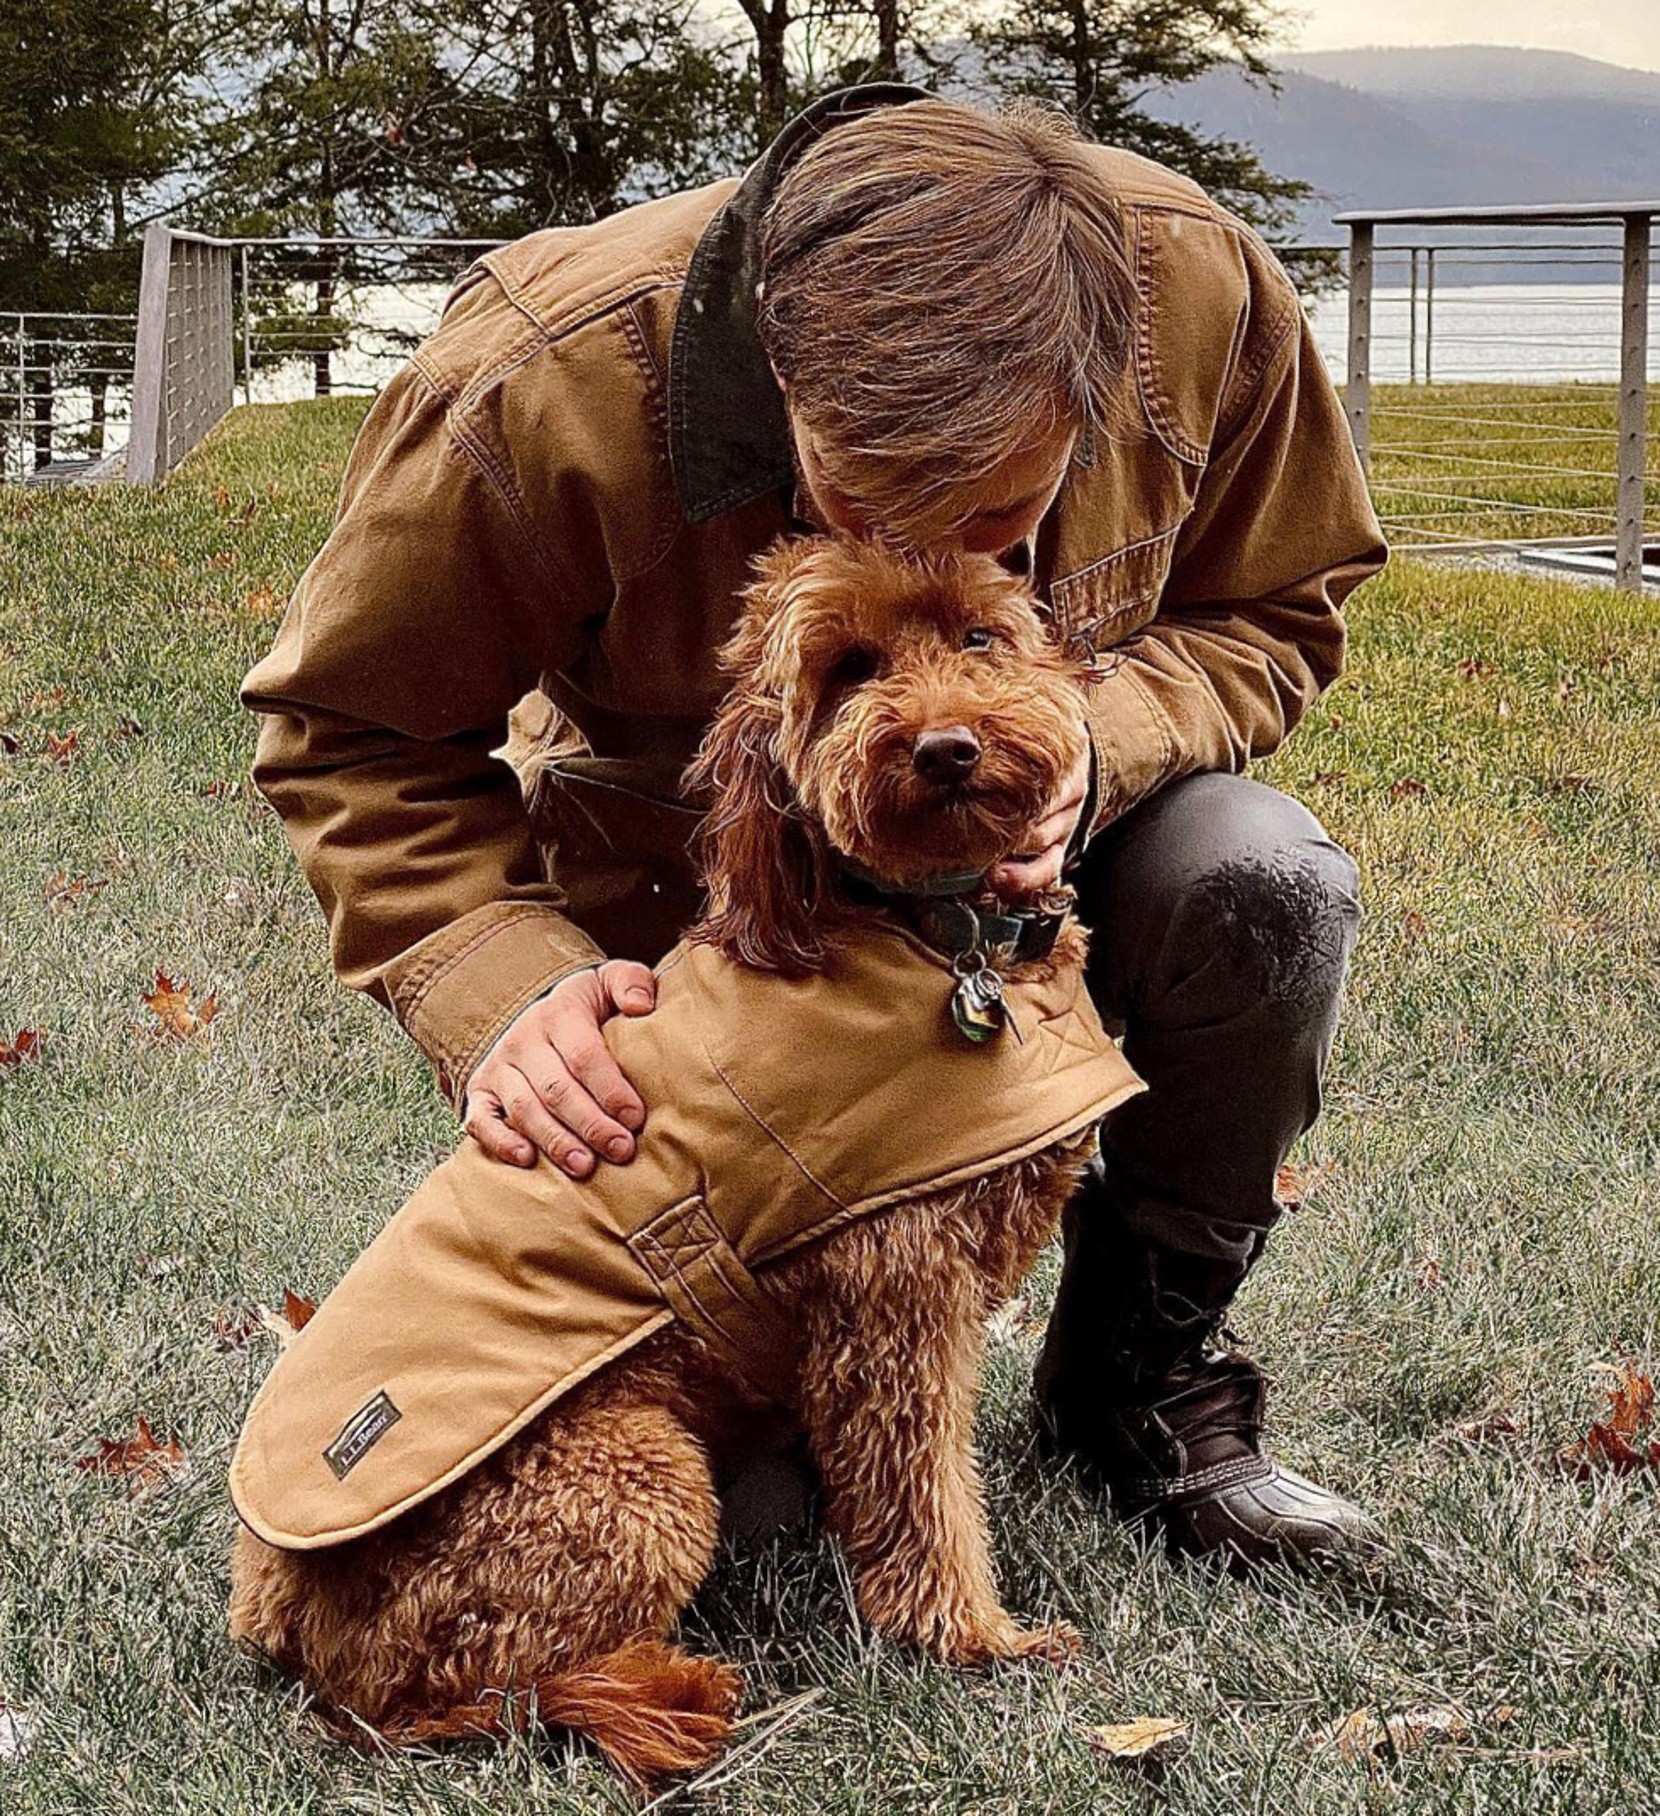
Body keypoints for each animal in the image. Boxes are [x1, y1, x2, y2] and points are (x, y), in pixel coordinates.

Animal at [229, 530, 1126, 1779]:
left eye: (980, 635)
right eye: (847, 669)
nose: (946, 745)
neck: (924, 933)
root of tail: (279, 1607)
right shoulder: (896, 1299)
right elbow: (924, 1498)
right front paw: (974, 1638)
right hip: (634, 1473)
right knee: (456, 1702)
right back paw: (666, 1693)